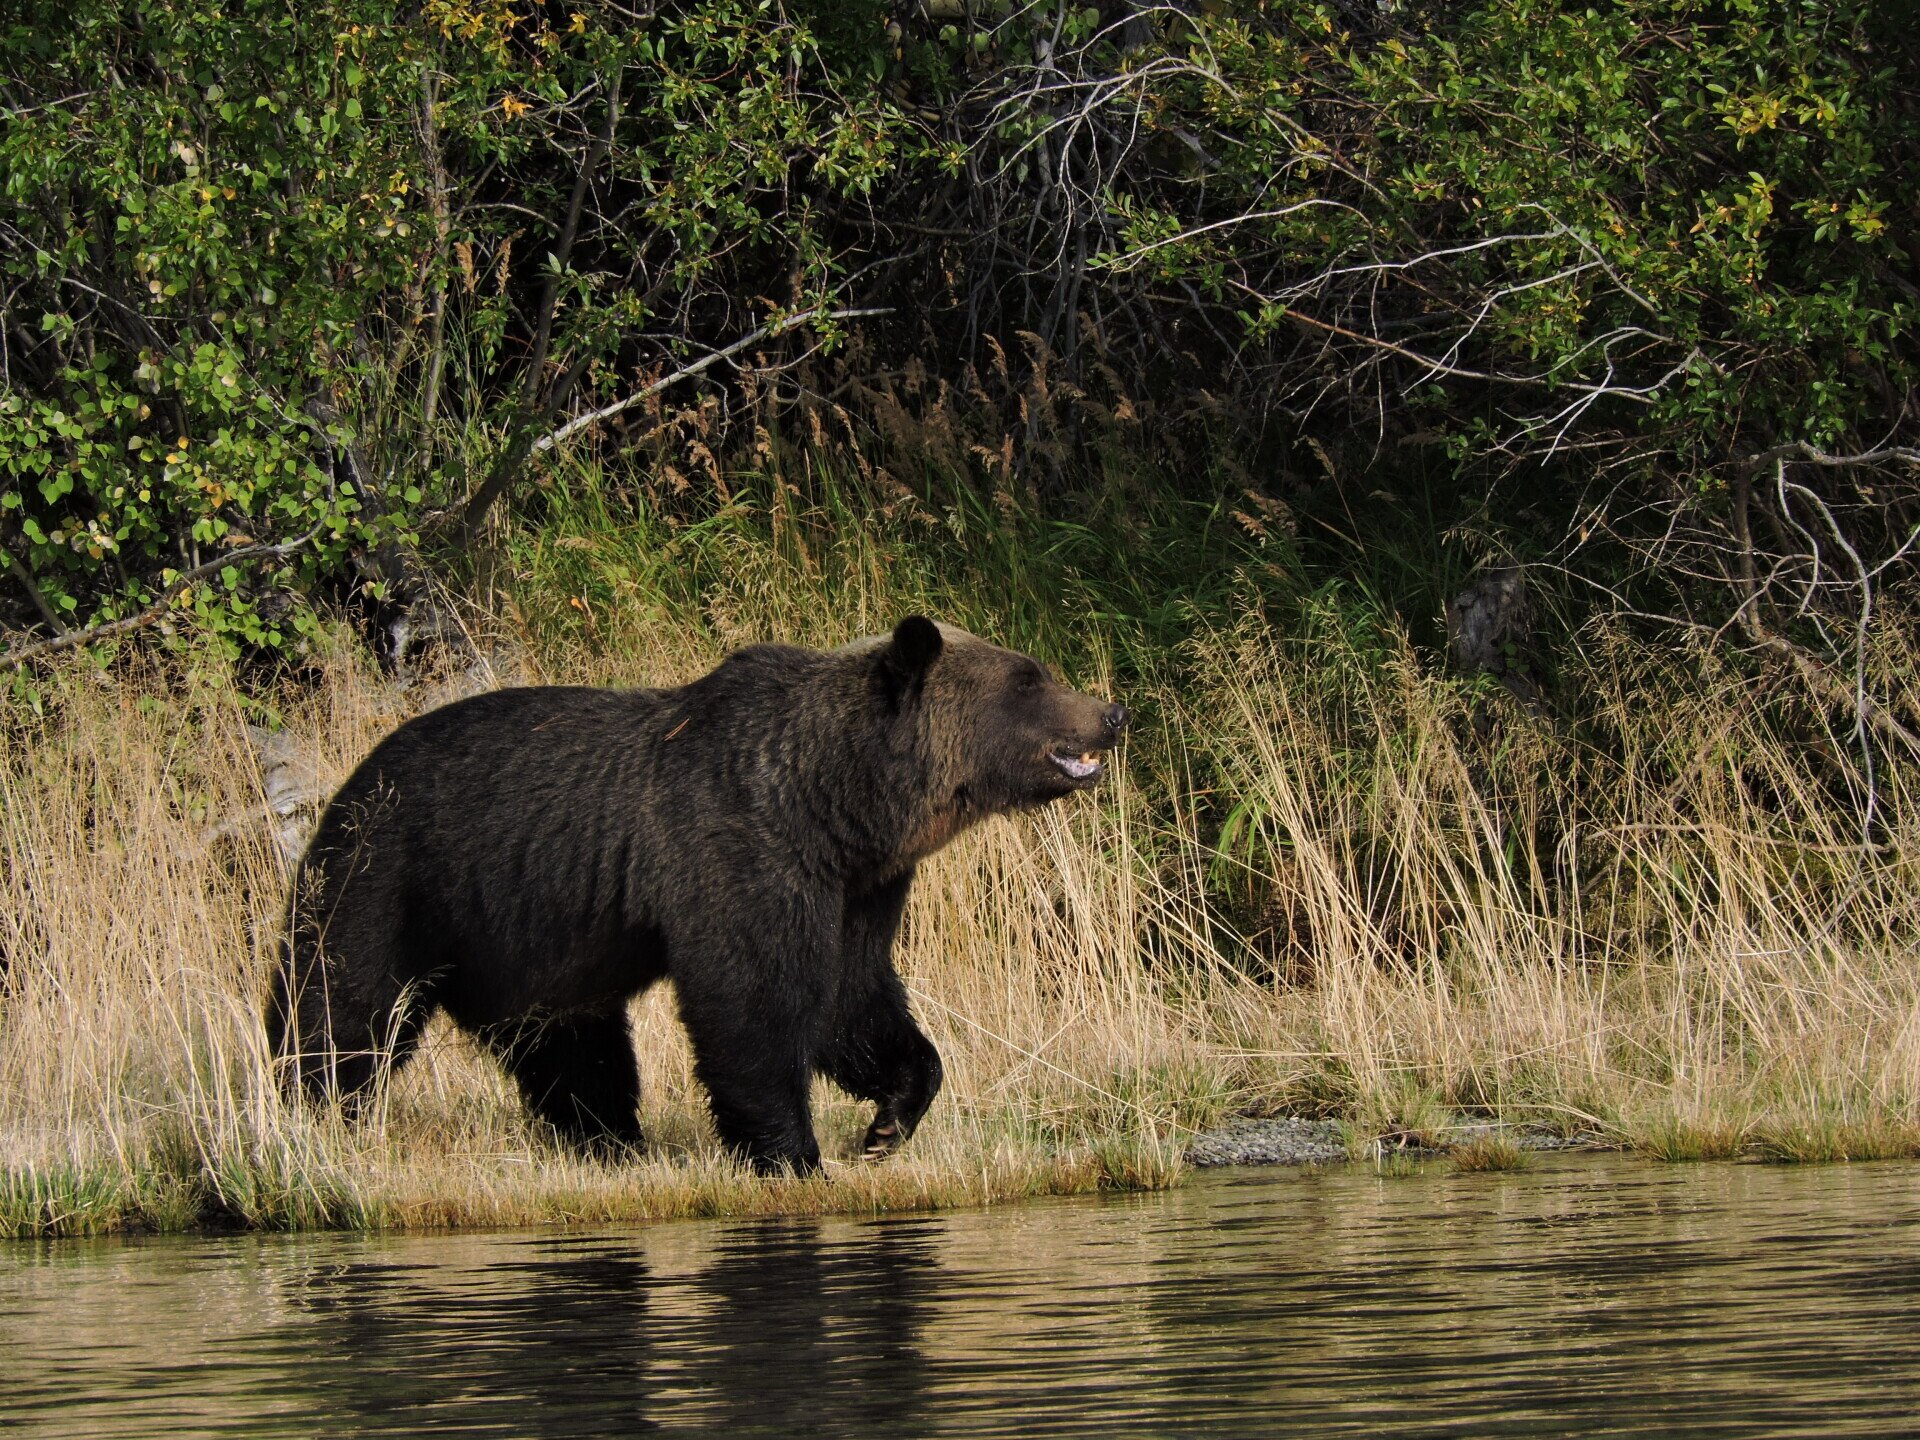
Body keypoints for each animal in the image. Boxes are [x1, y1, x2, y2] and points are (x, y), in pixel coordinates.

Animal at [267, 617, 1128, 1174]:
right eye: (1030, 677)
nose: (1113, 712)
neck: (835, 801)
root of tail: (348, 779)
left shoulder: (859, 887)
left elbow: (853, 998)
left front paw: (888, 1122)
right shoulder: (742, 850)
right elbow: (753, 1003)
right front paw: (792, 1152)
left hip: (530, 948)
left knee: (572, 1048)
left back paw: (610, 1141)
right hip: (388, 877)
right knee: (341, 1007)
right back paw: (310, 1111)